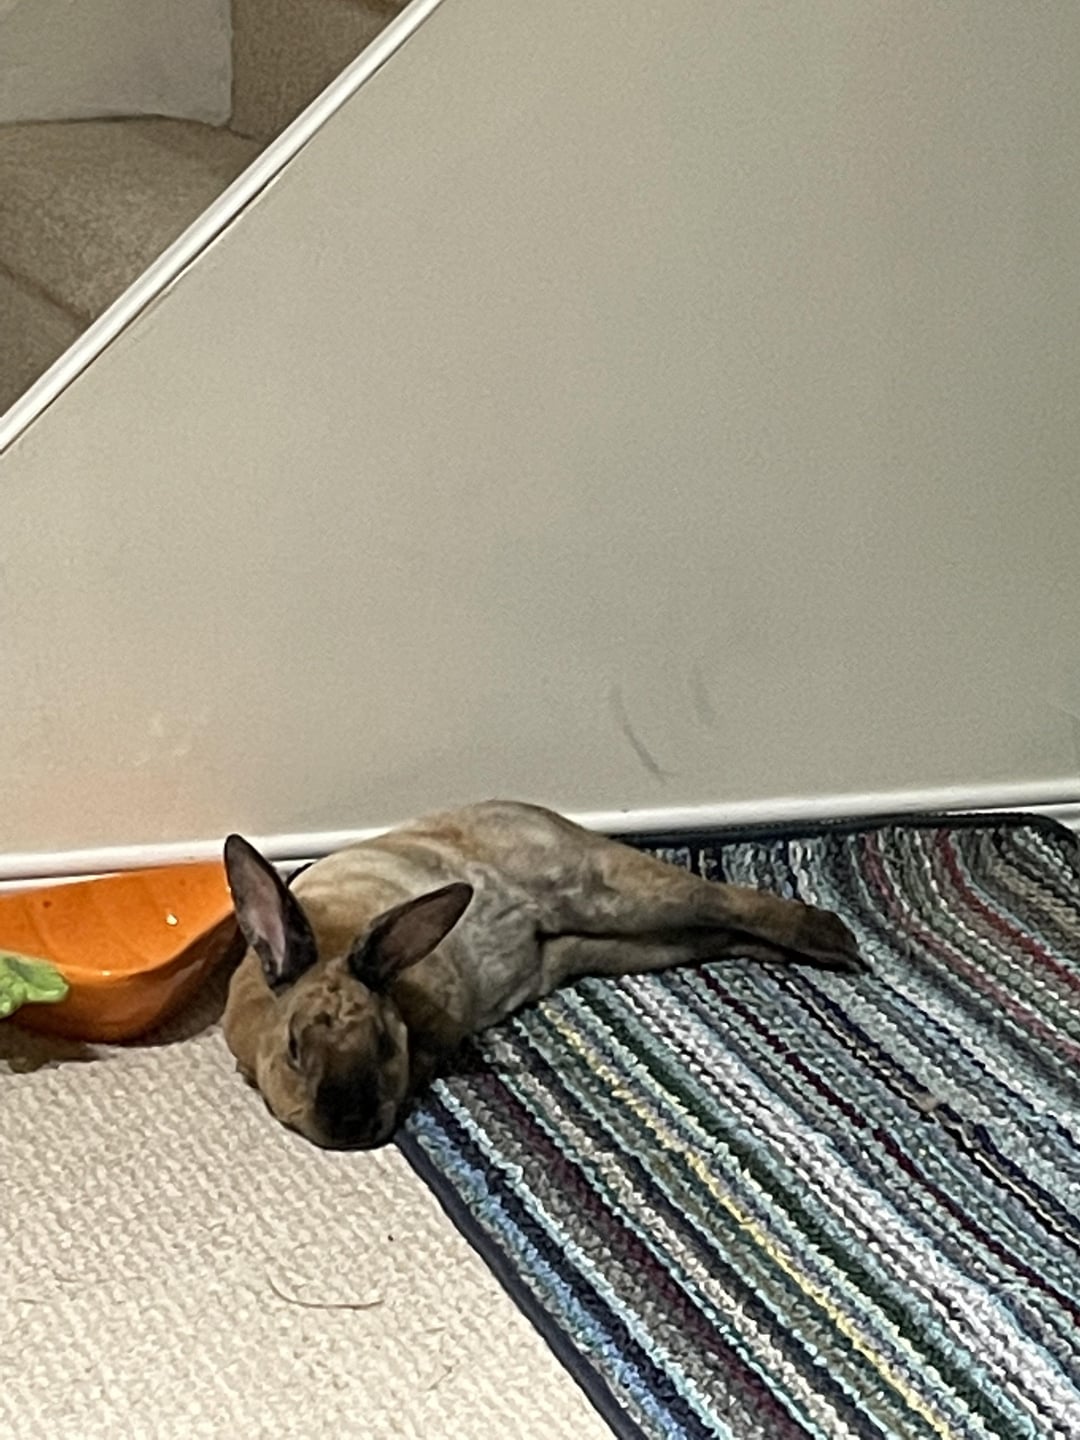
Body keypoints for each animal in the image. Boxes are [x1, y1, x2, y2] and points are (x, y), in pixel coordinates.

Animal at [222, 799, 864, 1150]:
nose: (350, 1124)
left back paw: (836, 942)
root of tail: (539, 814)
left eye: (382, 1044)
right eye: (294, 1050)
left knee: (722, 901)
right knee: (711, 931)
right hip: (607, 945)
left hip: (607, 895)